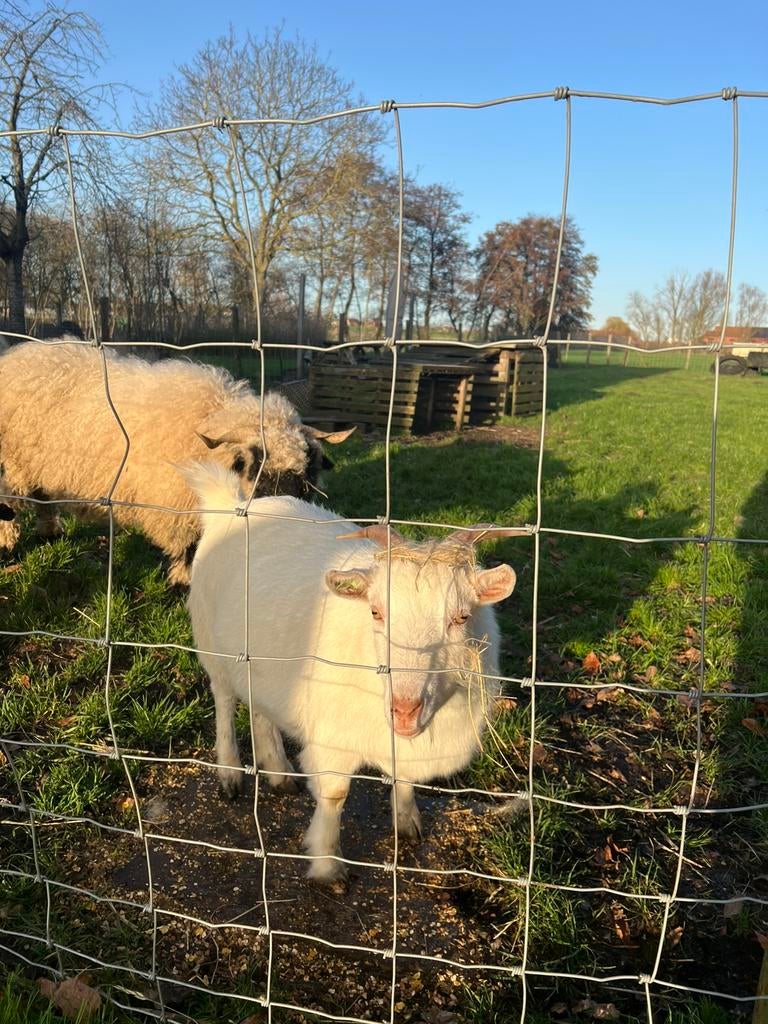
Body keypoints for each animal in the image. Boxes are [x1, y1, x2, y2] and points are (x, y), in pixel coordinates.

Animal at [185, 462, 517, 882]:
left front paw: (407, 823)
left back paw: (278, 772)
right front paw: (328, 865)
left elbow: (404, 778)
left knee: (260, 710)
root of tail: (231, 505)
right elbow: (334, 796)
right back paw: (230, 773)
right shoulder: (334, 739)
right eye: (375, 611)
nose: (404, 710)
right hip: (211, 643)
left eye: (461, 617)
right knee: (224, 701)